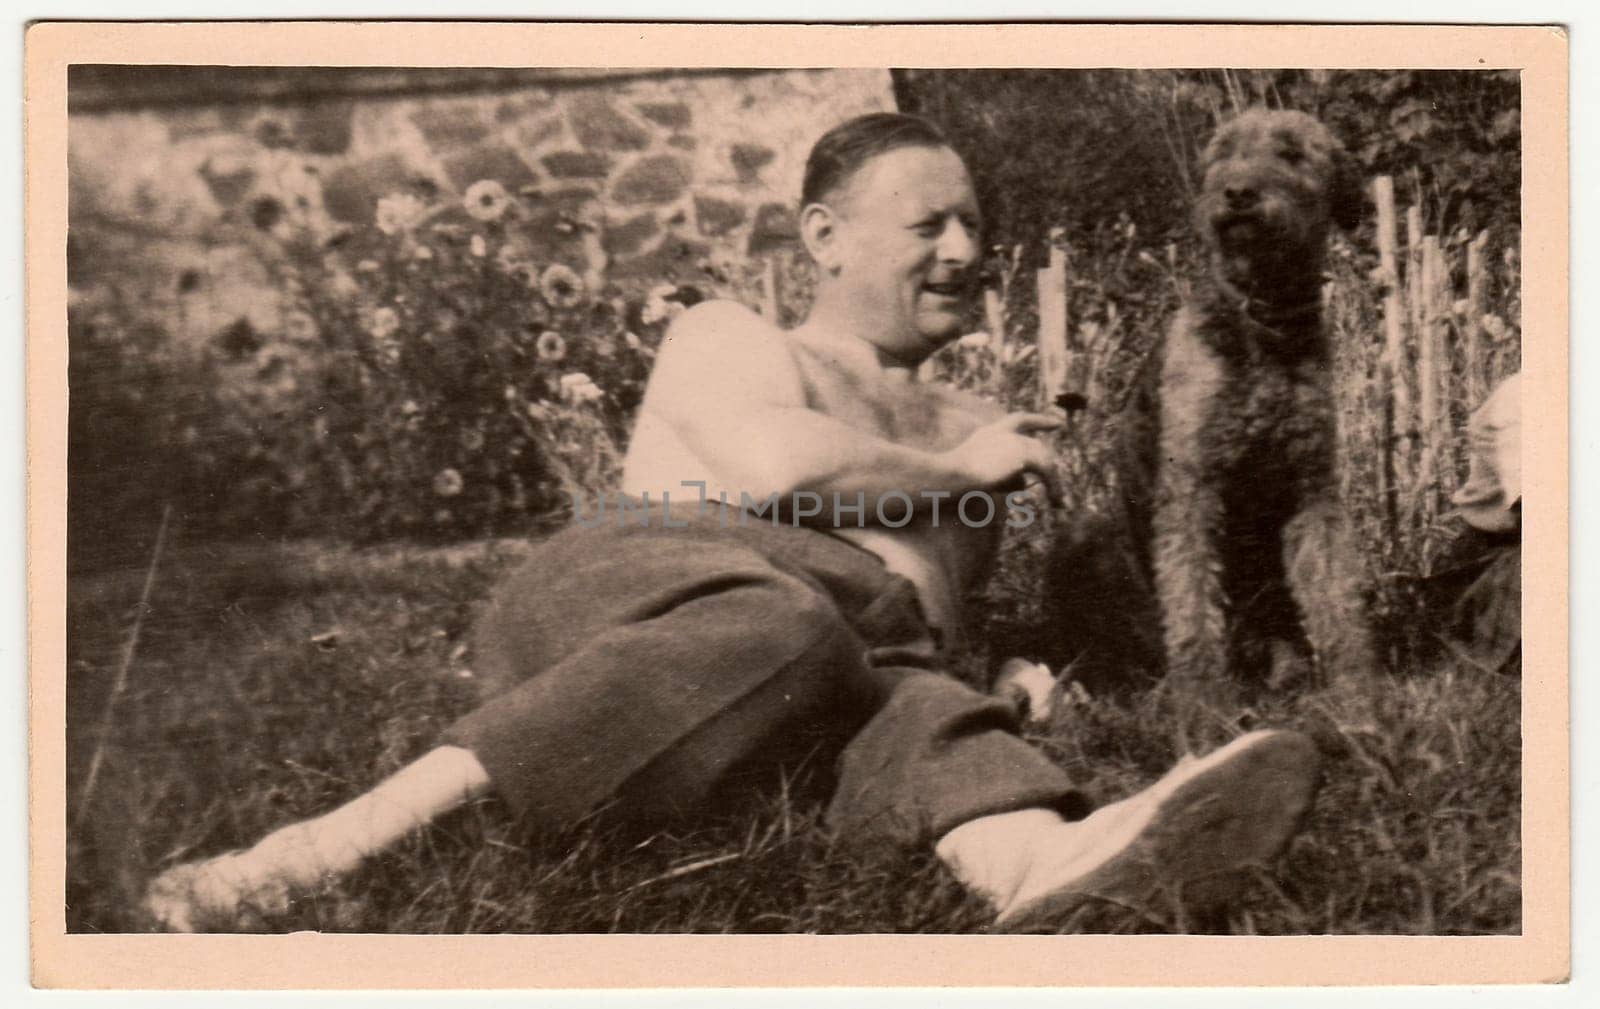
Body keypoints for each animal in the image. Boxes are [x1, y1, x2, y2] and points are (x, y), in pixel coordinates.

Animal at [1049, 110, 1376, 693]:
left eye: (1293, 153)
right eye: (1223, 151)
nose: (1238, 193)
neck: (1262, 318)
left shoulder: (1311, 486)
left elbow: (1335, 595)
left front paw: (1360, 694)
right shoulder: (1193, 487)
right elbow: (1193, 607)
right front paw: (1203, 705)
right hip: (1085, 542)